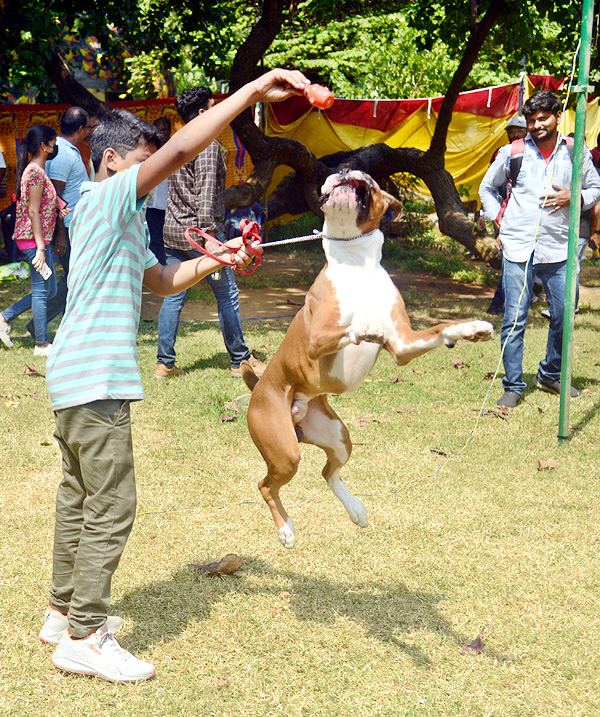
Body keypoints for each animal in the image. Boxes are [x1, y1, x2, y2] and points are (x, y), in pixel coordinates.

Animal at [241, 169, 494, 548]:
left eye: (370, 182)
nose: (347, 169)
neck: (355, 262)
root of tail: (260, 386)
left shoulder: (403, 345)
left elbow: (440, 328)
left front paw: (469, 329)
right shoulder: (318, 340)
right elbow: (352, 327)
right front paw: (367, 328)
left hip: (338, 438)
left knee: (328, 473)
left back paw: (356, 510)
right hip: (285, 451)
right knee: (266, 485)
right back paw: (285, 529)